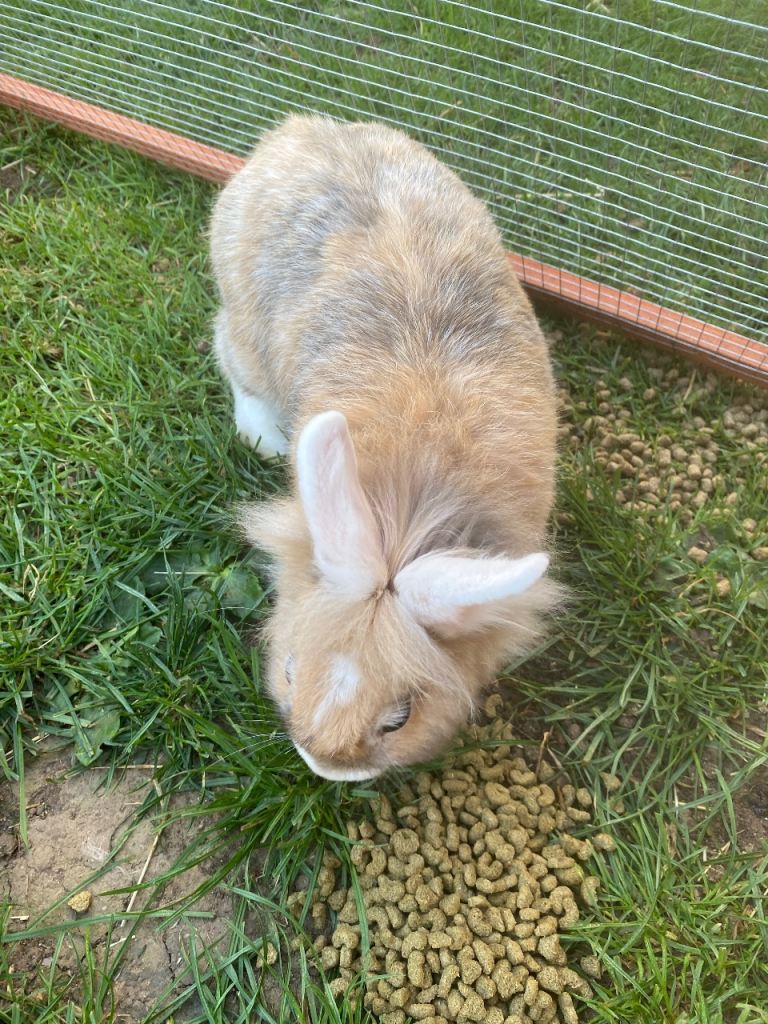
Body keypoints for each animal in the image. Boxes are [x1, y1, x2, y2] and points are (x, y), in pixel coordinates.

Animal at [209, 114, 560, 782]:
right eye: (288, 670)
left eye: (400, 717)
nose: (324, 767)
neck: (410, 503)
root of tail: (296, 131)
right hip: (243, 324)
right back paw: (264, 437)